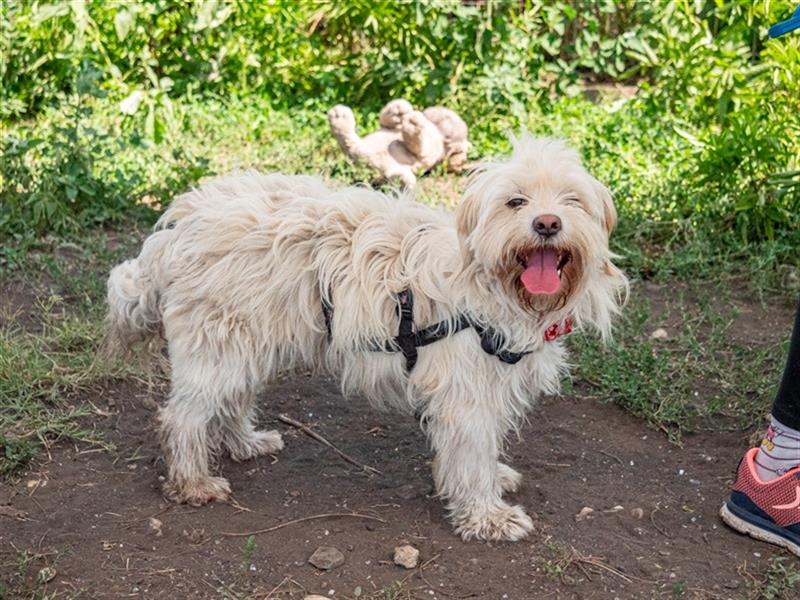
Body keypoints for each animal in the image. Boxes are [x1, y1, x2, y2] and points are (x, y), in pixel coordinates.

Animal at [104, 136, 624, 544]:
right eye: (515, 202)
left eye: (572, 201)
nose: (547, 223)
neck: (491, 282)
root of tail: (180, 225)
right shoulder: (467, 393)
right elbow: (472, 452)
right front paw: (486, 516)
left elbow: (480, 448)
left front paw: (491, 480)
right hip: (220, 345)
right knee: (183, 417)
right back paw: (193, 482)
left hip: (246, 342)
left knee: (229, 400)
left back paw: (245, 442)